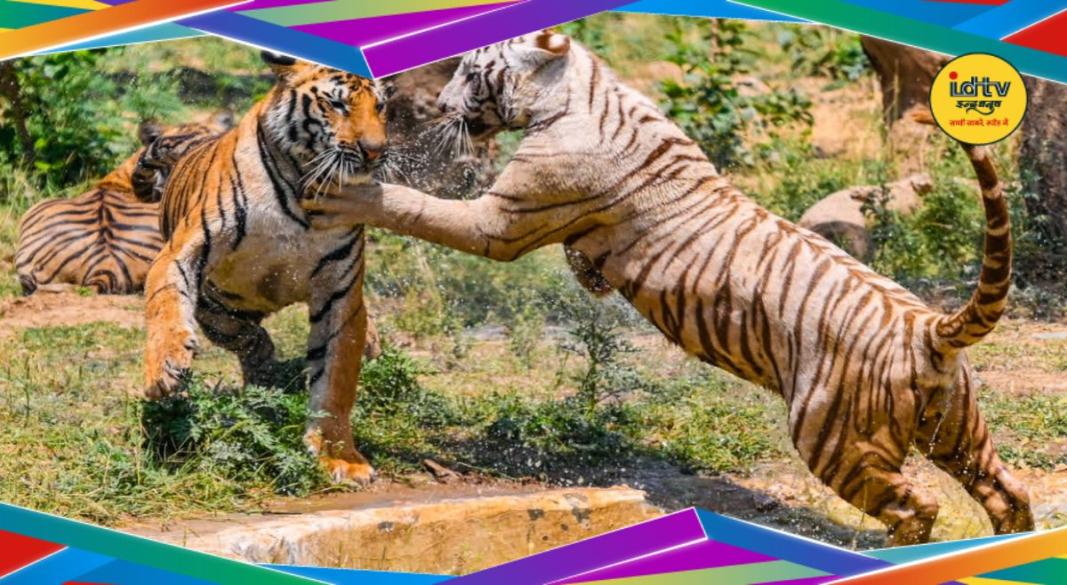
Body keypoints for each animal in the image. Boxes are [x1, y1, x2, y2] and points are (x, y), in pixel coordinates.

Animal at [140, 51, 386, 484]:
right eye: (337, 104)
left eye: (381, 107)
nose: (376, 151)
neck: (303, 191)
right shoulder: (181, 252)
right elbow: (166, 305)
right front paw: (164, 370)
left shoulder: (341, 293)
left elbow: (335, 380)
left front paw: (340, 457)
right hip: (215, 309)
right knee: (246, 336)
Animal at [303, 31, 1034, 543]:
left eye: (467, 71)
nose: (435, 103)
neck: (576, 91)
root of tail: (927, 325)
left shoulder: (498, 222)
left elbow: (411, 204)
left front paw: (344, 193)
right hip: (960, 430)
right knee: (1008, 490)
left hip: (835, 437)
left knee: (918, 504)